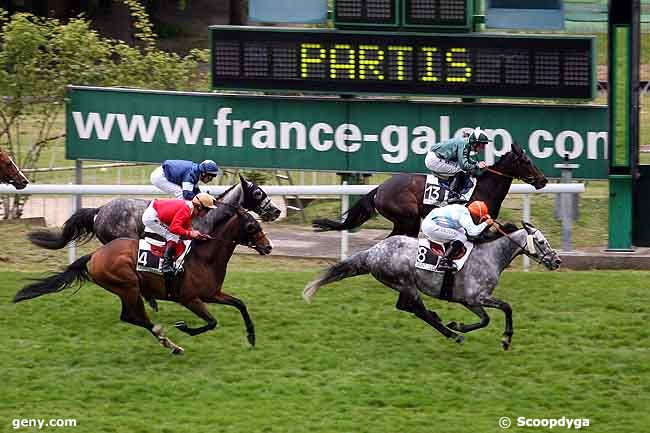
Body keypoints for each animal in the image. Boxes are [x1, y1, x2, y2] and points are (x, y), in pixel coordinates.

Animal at [13, 204, 270, 352]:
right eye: (251, 226)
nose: (268, 247)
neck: (204, 258)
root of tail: (94, 255)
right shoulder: (189, 299)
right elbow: (212, 322)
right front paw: (184, 327)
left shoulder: (212, 294)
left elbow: (240, 304)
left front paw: (252, 337)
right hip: (128, 285)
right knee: (132, 316)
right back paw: (167, 339)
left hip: (128, 289)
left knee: (132, 316)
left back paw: (168, 342)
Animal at [302, 221, 556, 350]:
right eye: (541, 242)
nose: (556, 261)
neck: (490, 255)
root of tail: (371, 252)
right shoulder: (476, 297)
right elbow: (505, 308)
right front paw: (505, 339)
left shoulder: (469, 301)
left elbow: (485, 319)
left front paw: (458, 324)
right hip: (405, 283)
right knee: (416, 309)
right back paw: (450, 332)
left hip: (404, 286)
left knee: (407, 307)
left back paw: (445, 325)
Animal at [314, 142, 548, 236]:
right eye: (527, 161)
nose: (543, 180)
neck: (486, 186)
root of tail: (380, 188)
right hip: (409, 219)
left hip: (404, 222)